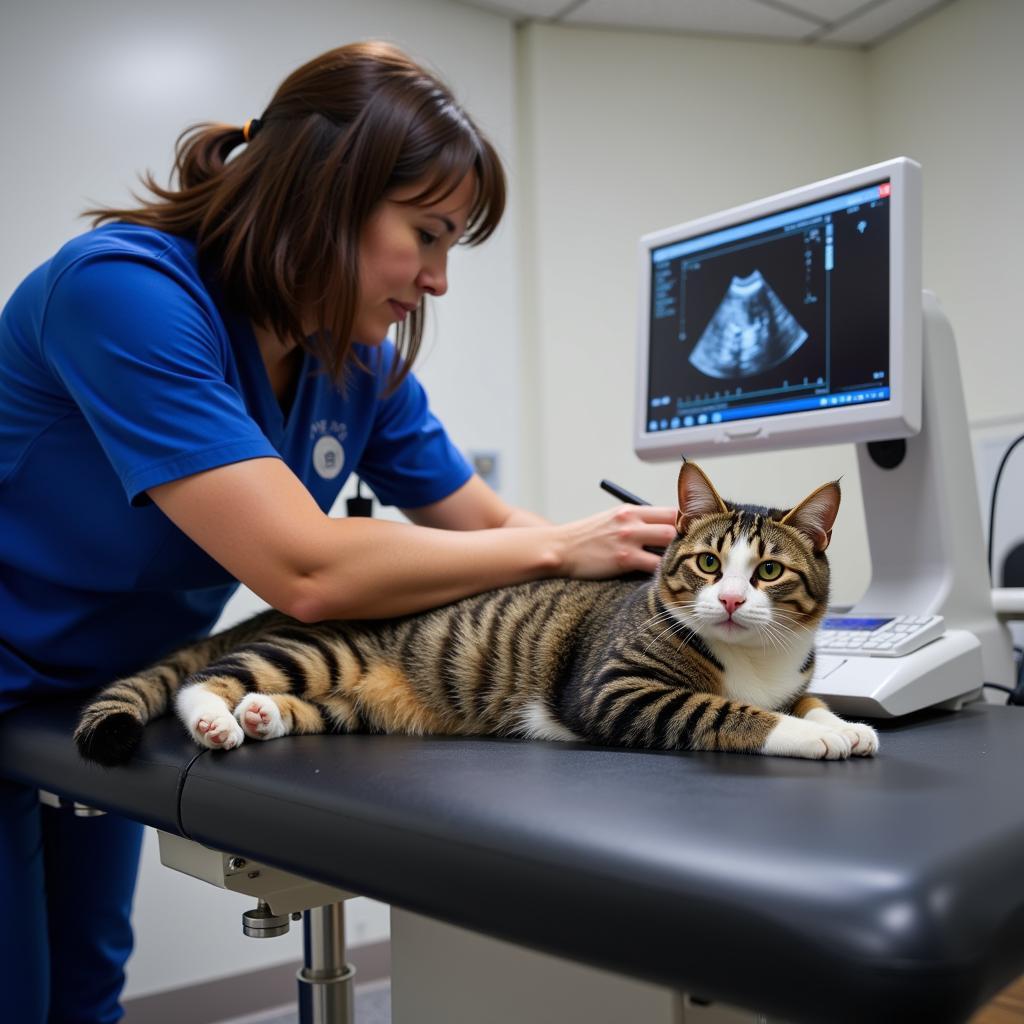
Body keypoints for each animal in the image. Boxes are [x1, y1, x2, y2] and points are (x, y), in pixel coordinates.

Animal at [74, 460, 880, 765]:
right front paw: (808, 737)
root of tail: (267, 615)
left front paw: (844, 723)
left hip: (354, 702)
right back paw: (216, 719)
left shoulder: (792, 673)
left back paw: (262, 717)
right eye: (709, 564)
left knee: (302, 707)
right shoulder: (614, 690)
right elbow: (728, 712)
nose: (735, 599)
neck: (753, 658)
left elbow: (807, 696)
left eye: (769, 571)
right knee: (203, 678)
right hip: (316, 648)